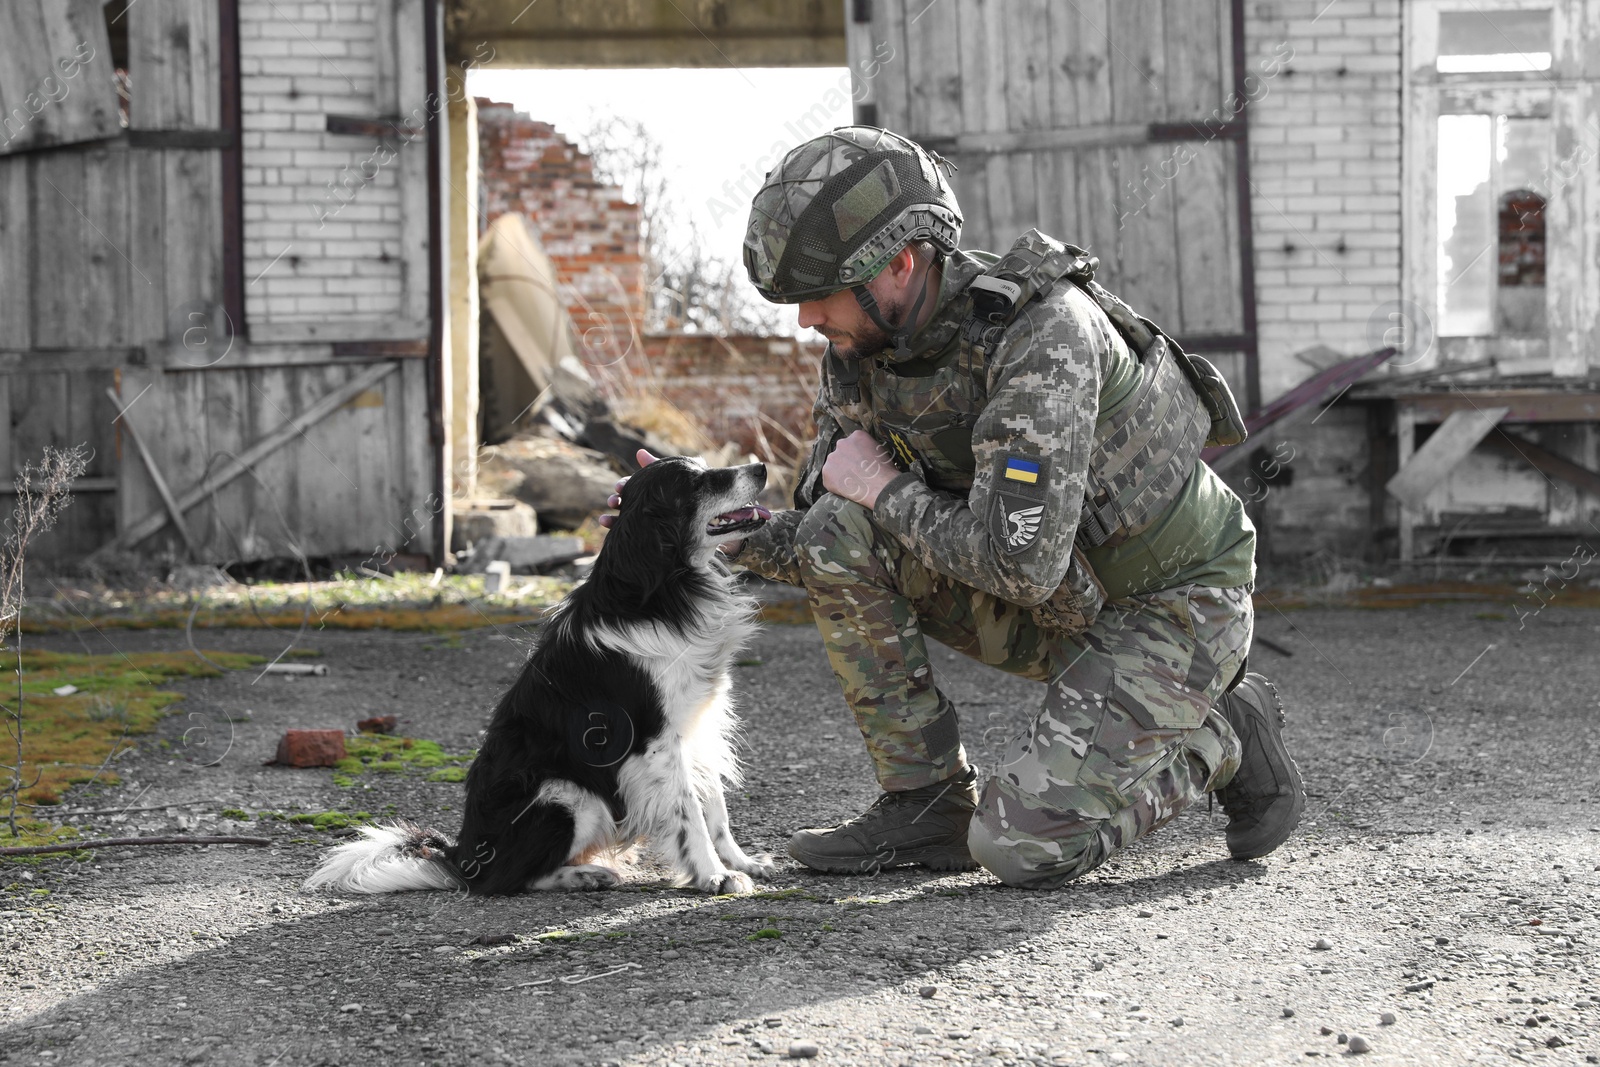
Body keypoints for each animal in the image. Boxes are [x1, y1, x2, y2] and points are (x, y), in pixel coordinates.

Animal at [304, 454, 774, 895]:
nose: (762, 468)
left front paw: (741, 862)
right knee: (509, 880)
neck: (665, 590)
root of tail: (460, 859)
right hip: (567, 796)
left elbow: (715, 807)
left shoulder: (699, 724)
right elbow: (690, 812)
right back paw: (586, 875)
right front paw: (714, 875)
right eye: (698, 483)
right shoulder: (656, 740)